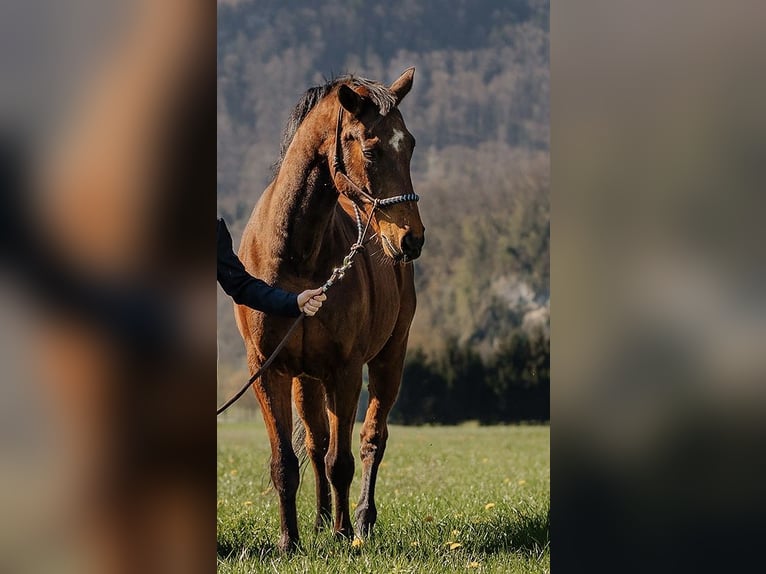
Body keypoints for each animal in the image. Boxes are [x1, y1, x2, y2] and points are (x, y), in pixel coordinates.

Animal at [234, 68, 425, 552]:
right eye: (371, 148)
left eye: (410, 144)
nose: (411, 240)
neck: (296, 256)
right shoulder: (269, 369)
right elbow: (286, 460)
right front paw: (290, 542)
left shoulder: (346, 369)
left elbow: (344, 460)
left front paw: (344, 536)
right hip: (306, 379)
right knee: (317, 444)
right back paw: (320, 521)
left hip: (388, 360)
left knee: (371, 439)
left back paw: (359, 520)